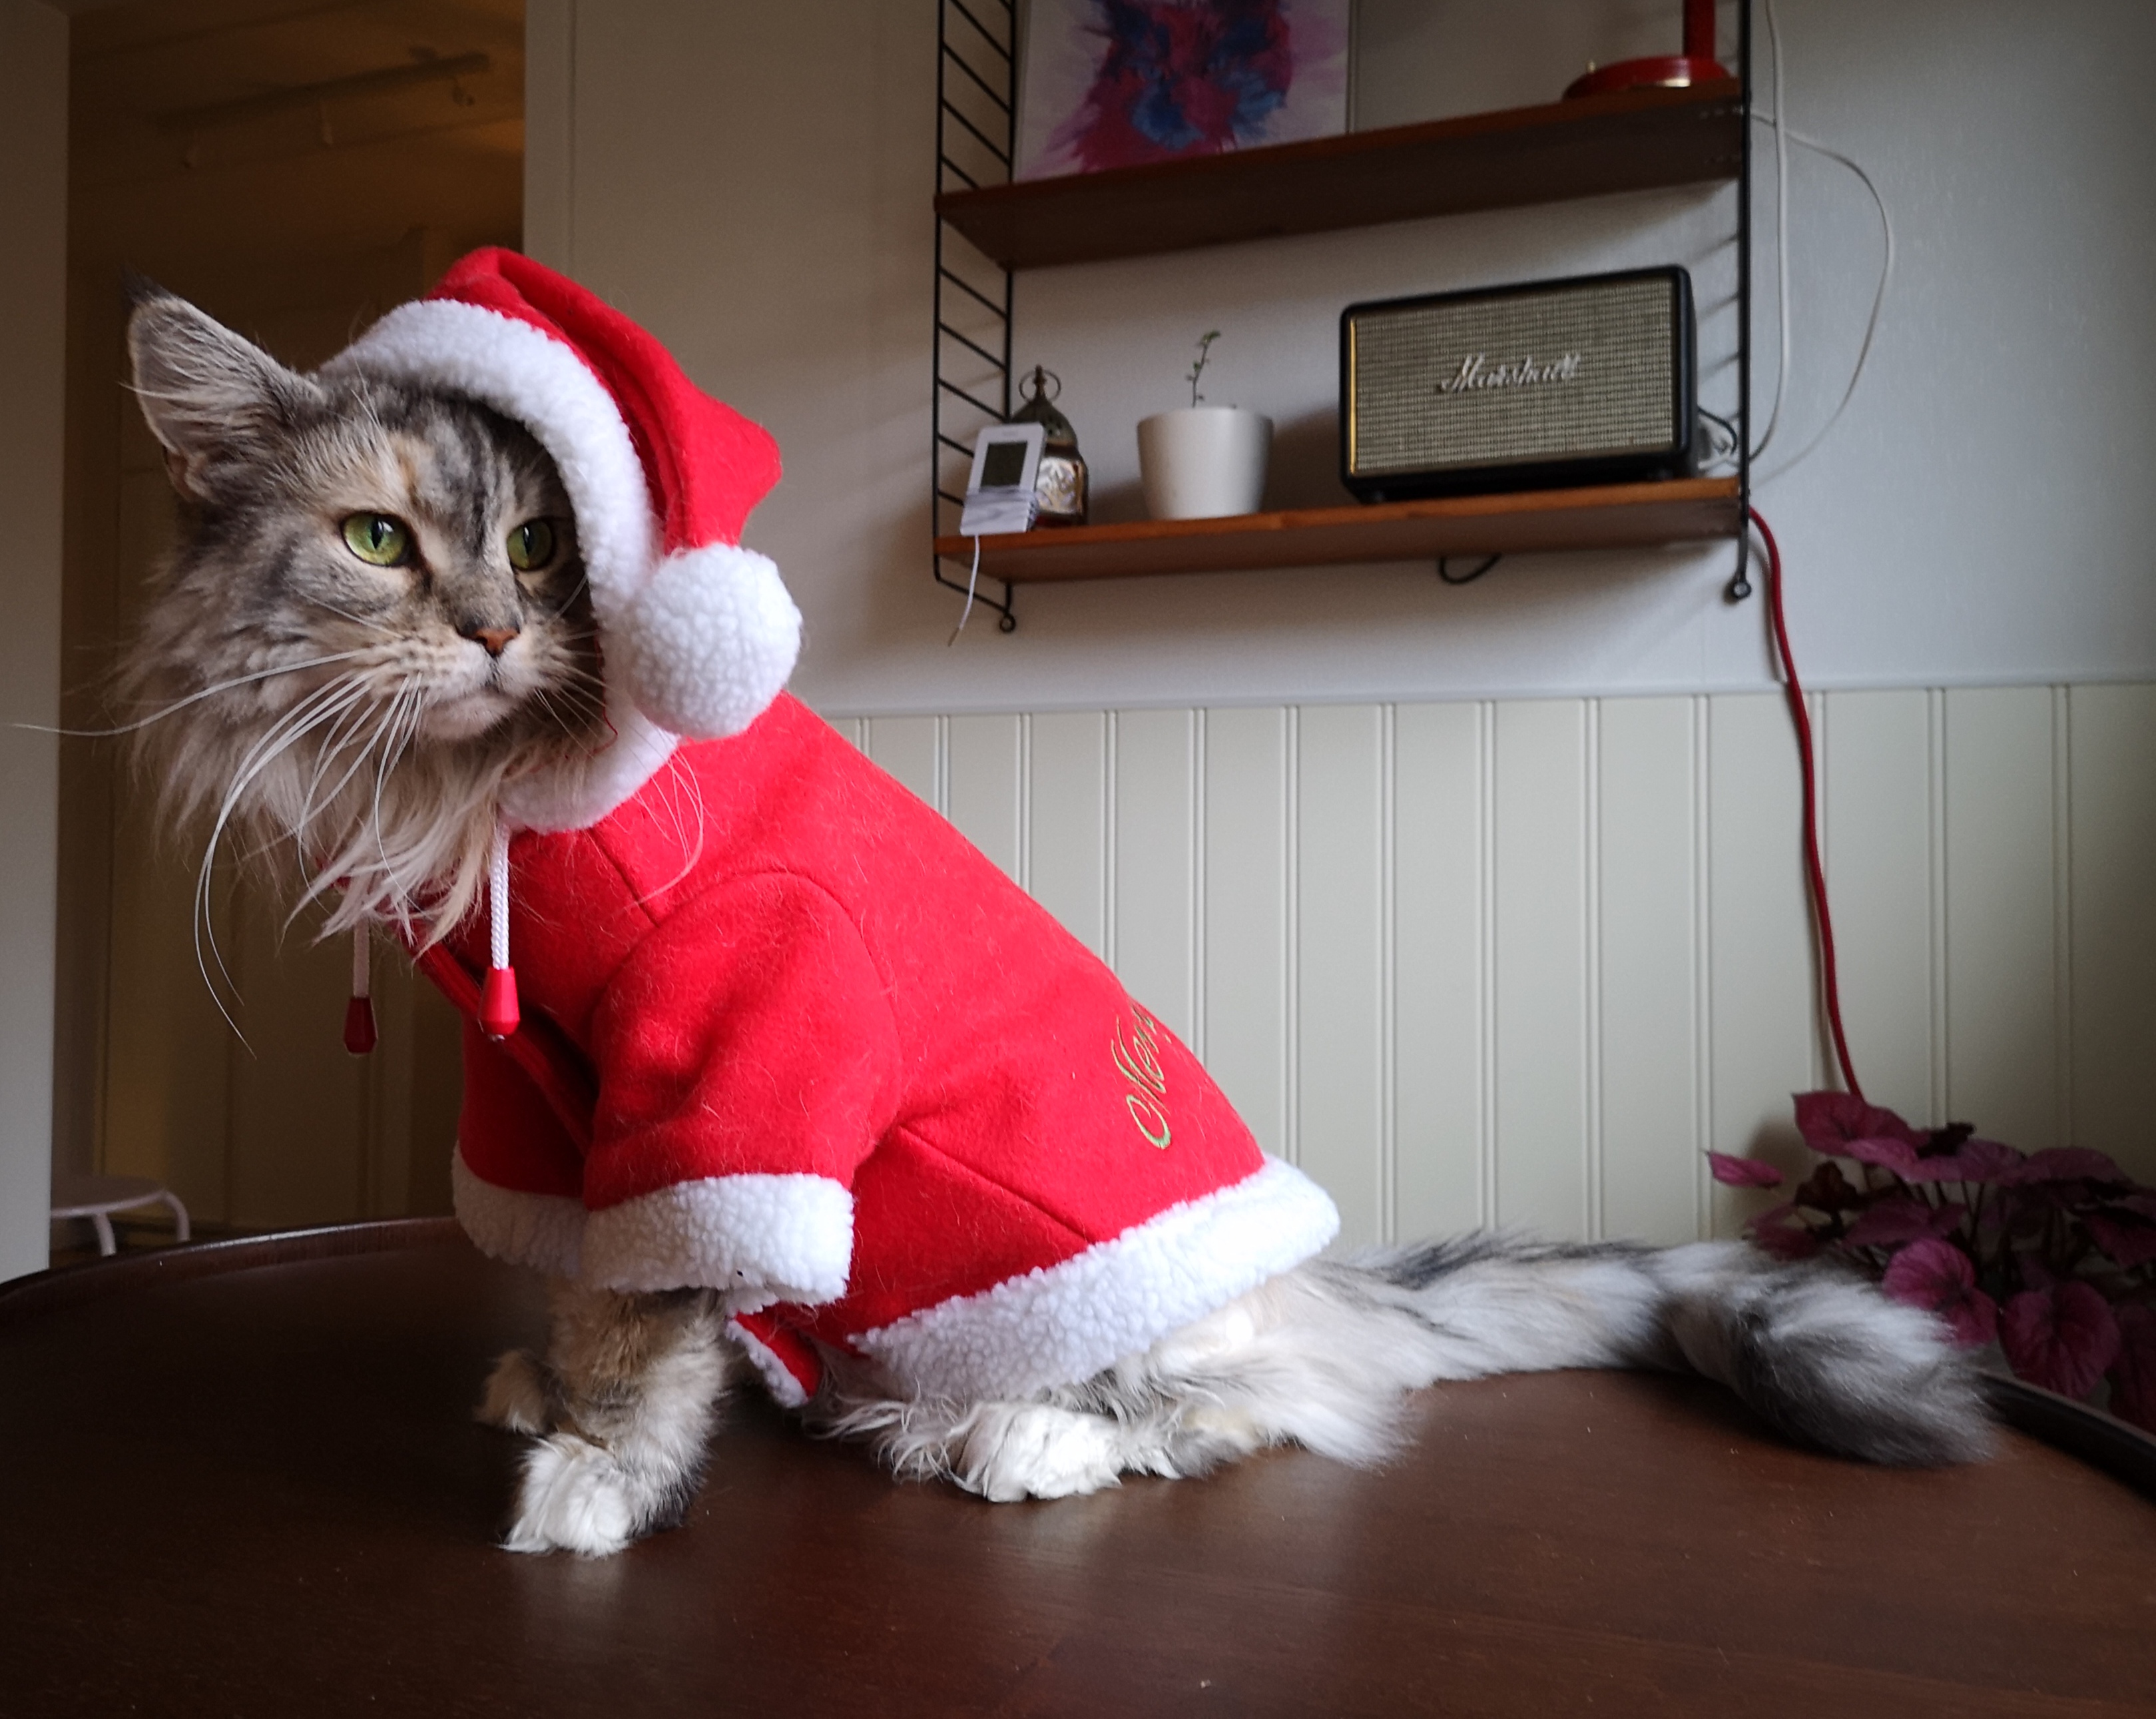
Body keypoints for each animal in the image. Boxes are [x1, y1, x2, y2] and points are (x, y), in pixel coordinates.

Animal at [113, 267, 1991, 1559]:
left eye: (544, 548)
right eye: (378, 541)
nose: (499, 630)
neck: (501, 809)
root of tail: (1319, 1272)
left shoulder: (729, 1066)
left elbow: (651, 1320)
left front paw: (594, 1481)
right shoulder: (547, 1103)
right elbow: (590, 1289)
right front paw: (548, 1394)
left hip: (1099, 1297)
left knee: (1278, 1407)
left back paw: (1013, 1444)